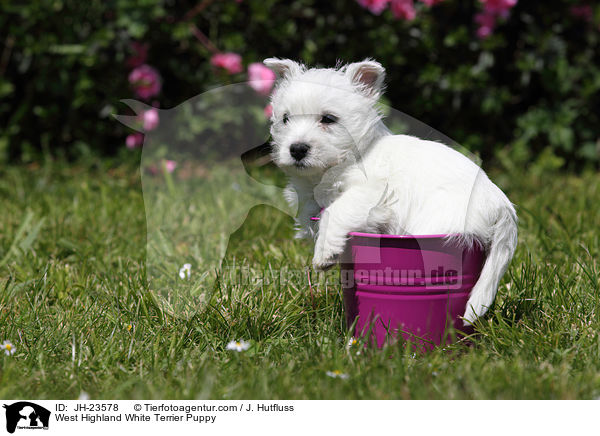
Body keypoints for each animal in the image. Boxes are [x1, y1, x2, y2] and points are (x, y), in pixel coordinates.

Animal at [264, 57, 516, 324]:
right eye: (285, 119)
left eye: (328, 119)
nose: (297, 149)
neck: (349, 158)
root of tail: (502, 206)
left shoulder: (373, 194)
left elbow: (338, 209)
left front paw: (324, 252)